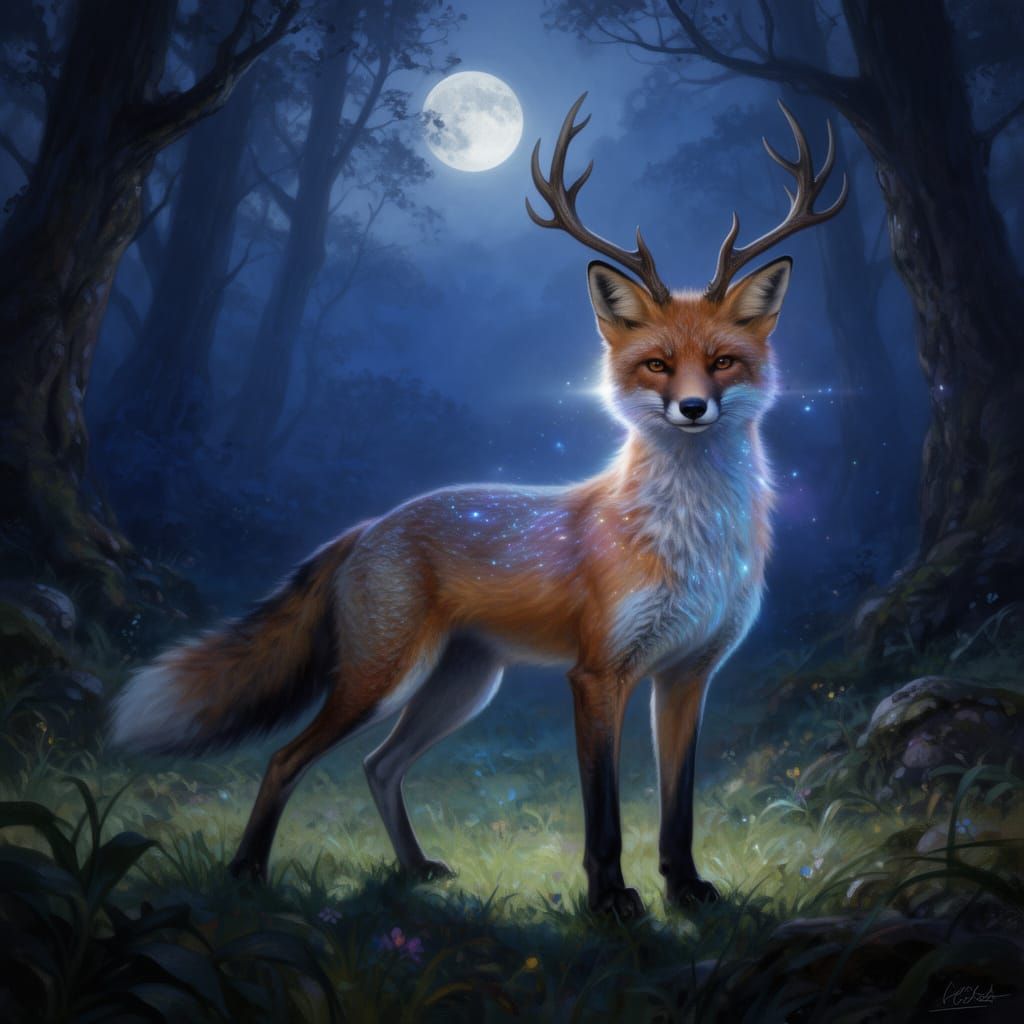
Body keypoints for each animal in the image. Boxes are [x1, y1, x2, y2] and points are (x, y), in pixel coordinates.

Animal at [110, 96, 845, 917]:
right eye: (657, 364)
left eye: (722, 362)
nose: (692, 408)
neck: (692, 543)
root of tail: (371, 525)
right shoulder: (599, 675)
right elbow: (604, 810)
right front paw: (610, 902)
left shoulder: (688, 675)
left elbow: (677, 806)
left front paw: (685, 890)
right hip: (381, 679)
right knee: (285, 758)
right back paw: (246, 873)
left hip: (460, 687)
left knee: (378, 765)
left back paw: (412, 869)